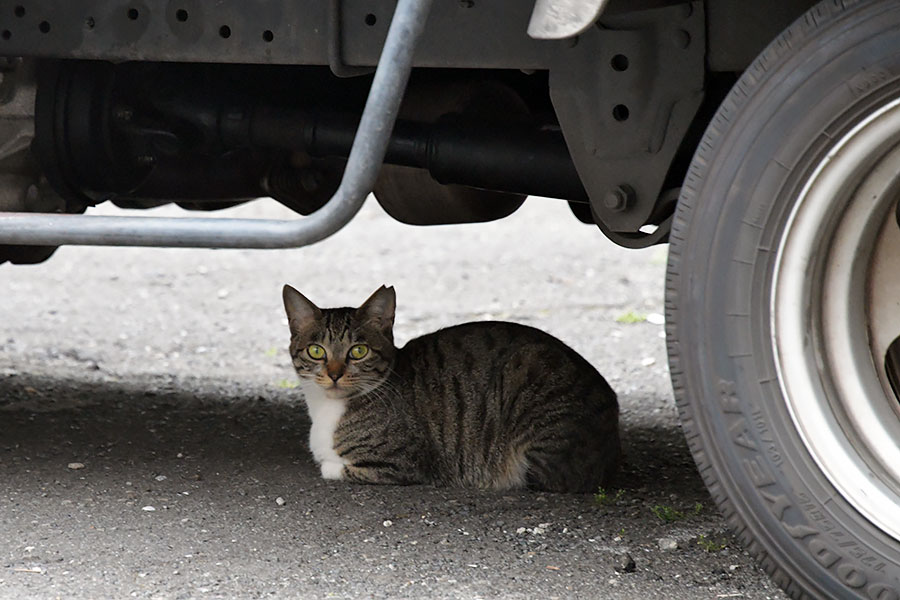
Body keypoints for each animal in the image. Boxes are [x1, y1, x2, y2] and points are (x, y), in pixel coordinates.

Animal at [282, 286, 620, 492]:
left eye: (358, 351)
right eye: (316, 351)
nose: (334, 374)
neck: (327, 410)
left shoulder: (402, 463)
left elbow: (332, 467)